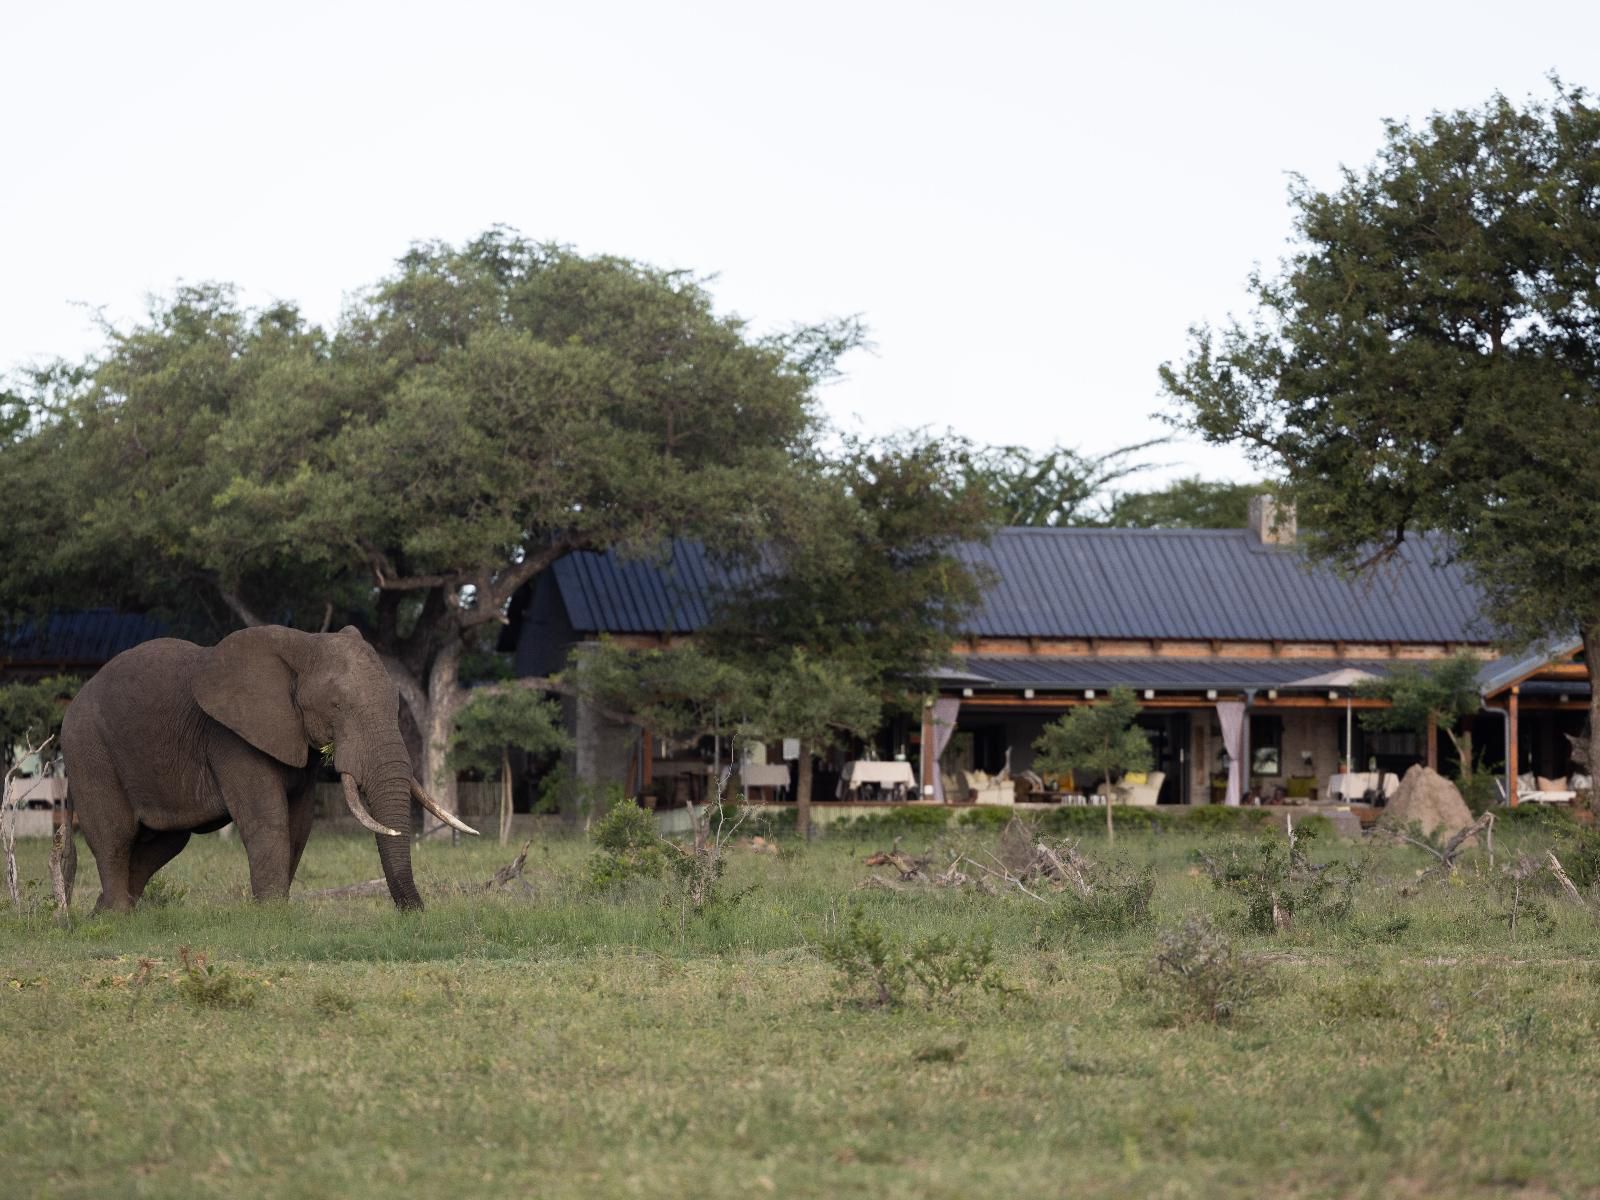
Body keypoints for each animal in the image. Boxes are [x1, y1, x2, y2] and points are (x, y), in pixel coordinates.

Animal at [62, 624, 473, 915]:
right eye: (336, 706)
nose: (416, 912)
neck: (301, 644)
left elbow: (300, 823)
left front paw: (278, 908)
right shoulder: (231, 736)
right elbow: (269, 818)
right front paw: (274, 914)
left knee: (164, 842)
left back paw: (104, 913)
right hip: (87, 748)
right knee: (115, 835)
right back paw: (117, 917)